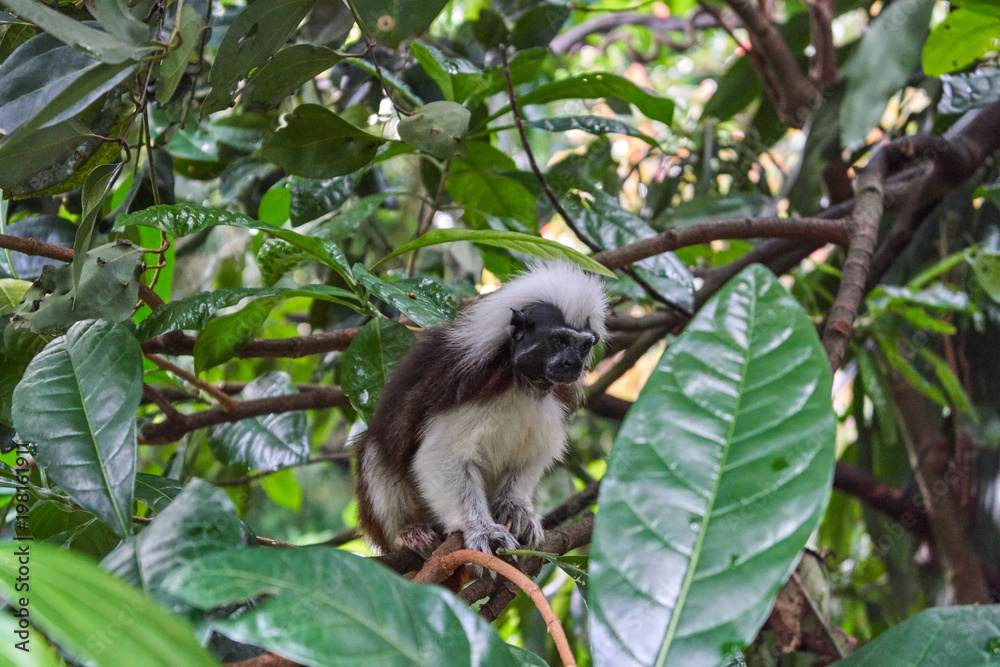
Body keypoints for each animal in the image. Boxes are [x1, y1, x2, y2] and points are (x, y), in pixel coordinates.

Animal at [353, 263, 607, 559]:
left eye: (583, 346)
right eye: (558, 341)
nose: (572, 364)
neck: (521, 381)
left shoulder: (556, 400)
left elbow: (535, 453)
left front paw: (515, 508)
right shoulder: (470, 384)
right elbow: (439, 456)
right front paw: (481, 529)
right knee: (376, 453)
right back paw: (410, 534)